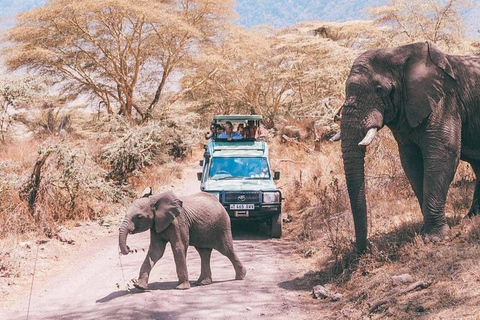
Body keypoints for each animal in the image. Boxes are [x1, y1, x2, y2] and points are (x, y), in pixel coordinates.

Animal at [118, 189, 246, 292]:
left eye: (139, 217)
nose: (128, 248)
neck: (154, 200)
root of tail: (219, 203)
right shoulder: (155, 225)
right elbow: (156, 251)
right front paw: (139, 286)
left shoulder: (178, 222)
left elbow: (179, 247)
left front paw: (181, 288)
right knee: (204, 252)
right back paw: (202, 283)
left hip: (222, 225)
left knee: (226, 250)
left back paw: (241, 277)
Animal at [338, 42, 480, 252]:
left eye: (379, 89)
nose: (366, 248)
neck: (399, 53)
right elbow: (411, 163)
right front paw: (423, 232)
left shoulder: (445, 101)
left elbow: (443, 155)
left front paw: (435, 238)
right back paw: (470, 218)